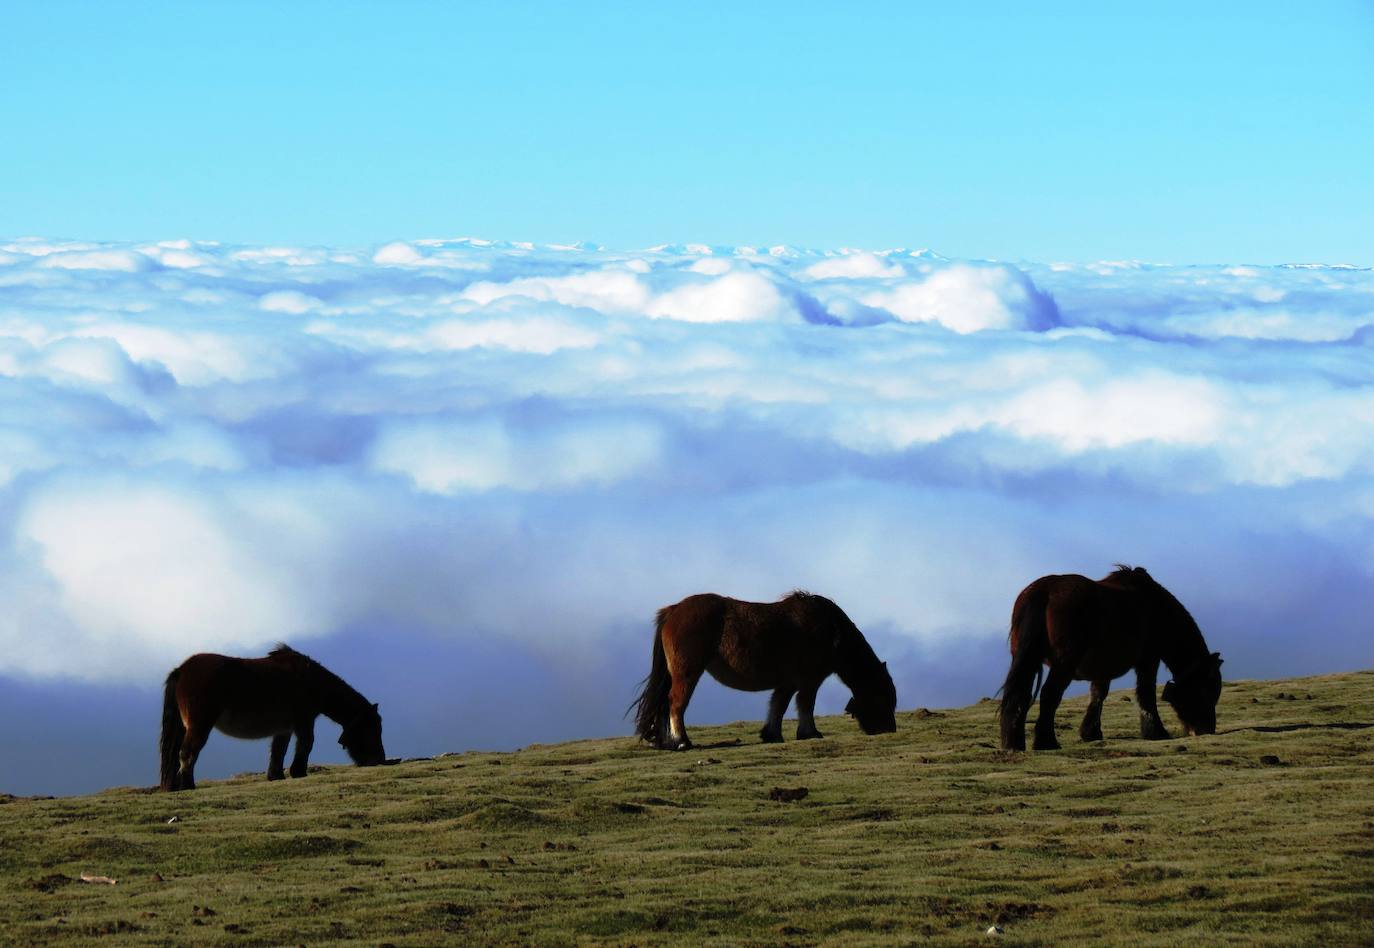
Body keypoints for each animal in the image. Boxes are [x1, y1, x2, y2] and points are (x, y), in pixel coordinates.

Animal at [159, 644, 386, 791]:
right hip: (199, 725)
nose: (379, 760)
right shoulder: (304, 721)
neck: (312, 682)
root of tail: (182, 670)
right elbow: (306, 744)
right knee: (188, 752)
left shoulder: (284, 728)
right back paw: (188, 785)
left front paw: (276, 776)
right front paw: (298, 771)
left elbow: (278, 751)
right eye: (370, 728)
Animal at [630, 591, 898, 751]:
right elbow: (805, 705)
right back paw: (682, 741)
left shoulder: (787, 682)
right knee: (676, 703)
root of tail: (674, 610)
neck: (831, 631)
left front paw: (772, 734)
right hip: (687, 673)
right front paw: (809, 733)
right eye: (883, 697)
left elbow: (777, 706)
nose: (889, 730)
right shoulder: (809, 680)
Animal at [997, 565, 1223, 751]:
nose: (1205, 730)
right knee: (1049, 695)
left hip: (1026, 659)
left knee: (1020, 694)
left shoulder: (1103, 665)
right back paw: (1047, 742)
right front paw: (1156, 732)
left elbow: (1098, 694)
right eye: (1206, 689)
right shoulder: (1148, 659)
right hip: (1064, 664)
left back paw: (1015, 743)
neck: (1157, 610)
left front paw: (1091, 732)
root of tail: (1043, 591)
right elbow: (1146, 693)